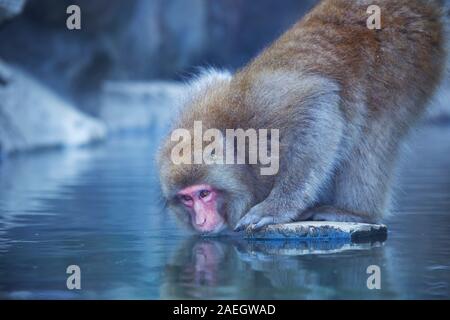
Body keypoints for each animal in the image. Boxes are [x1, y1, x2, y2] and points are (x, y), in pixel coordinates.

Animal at [156, 0, 448, 235]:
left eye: (204, 194)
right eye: (187, 199)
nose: (200, 221)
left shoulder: (264, 111)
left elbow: (318, 106)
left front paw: (276, 208)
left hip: (408, 55)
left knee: (374, 129)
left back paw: (356, 212)